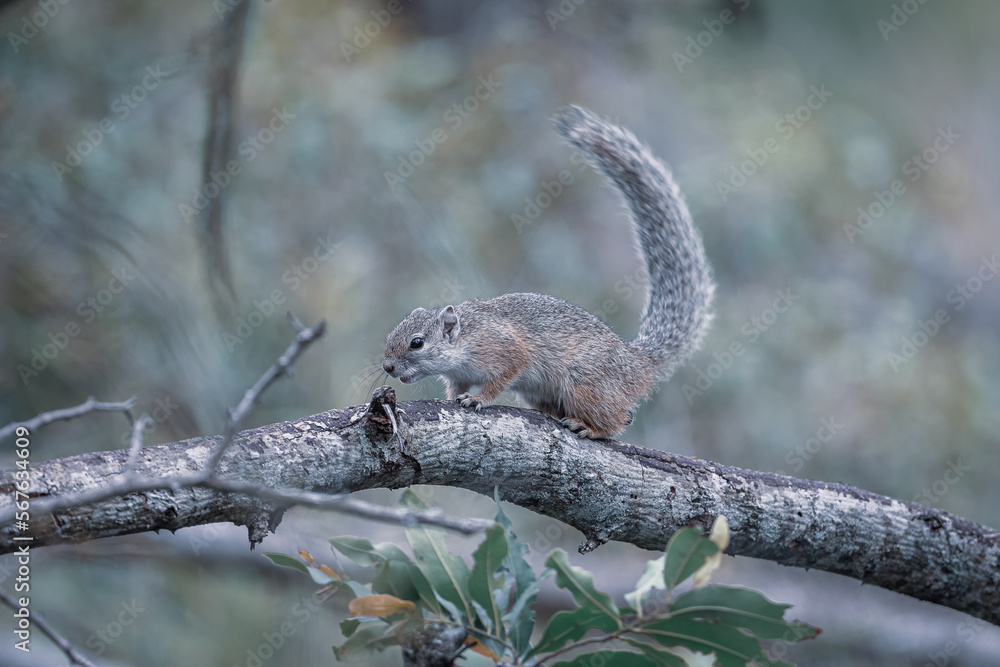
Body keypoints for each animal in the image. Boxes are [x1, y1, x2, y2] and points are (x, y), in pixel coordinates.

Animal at [382, 105, 714, 438]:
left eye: (416, 343)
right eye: (392, 335)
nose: (387, 368)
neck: (467, 337)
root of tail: (637, 363)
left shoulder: (507, 351)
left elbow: (500, 379)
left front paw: (478, 399)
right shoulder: (460, 374)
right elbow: (456, 386)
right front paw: (454, 398)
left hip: (584, 381)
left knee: (618, 420)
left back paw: (589, 427)